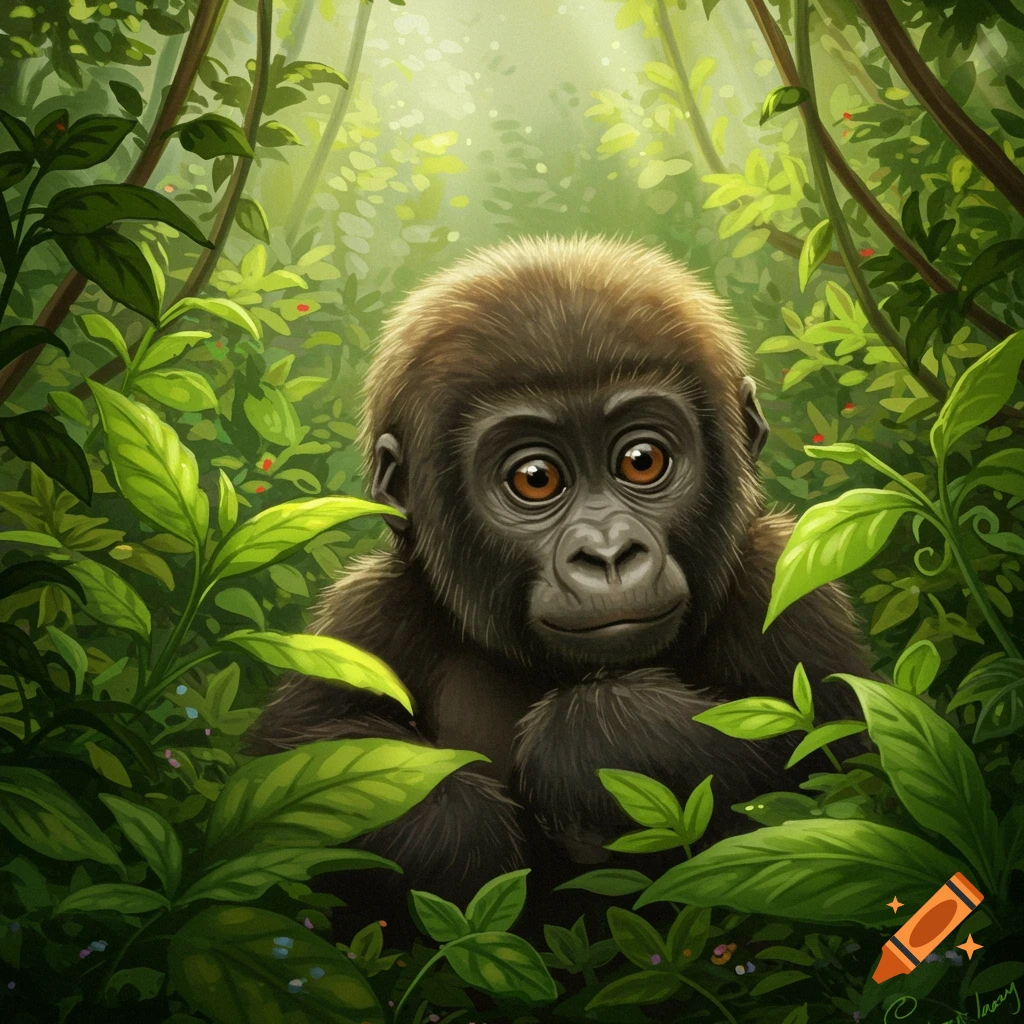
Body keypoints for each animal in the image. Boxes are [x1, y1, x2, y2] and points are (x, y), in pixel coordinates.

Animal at [243, 234, 872, 936]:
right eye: (536, 479)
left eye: (642, 462)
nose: (607, 554)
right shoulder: (368, 613)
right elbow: (278, 774)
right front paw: (451, 821)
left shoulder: (782, 584)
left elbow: (844, 778)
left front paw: (595, 736)